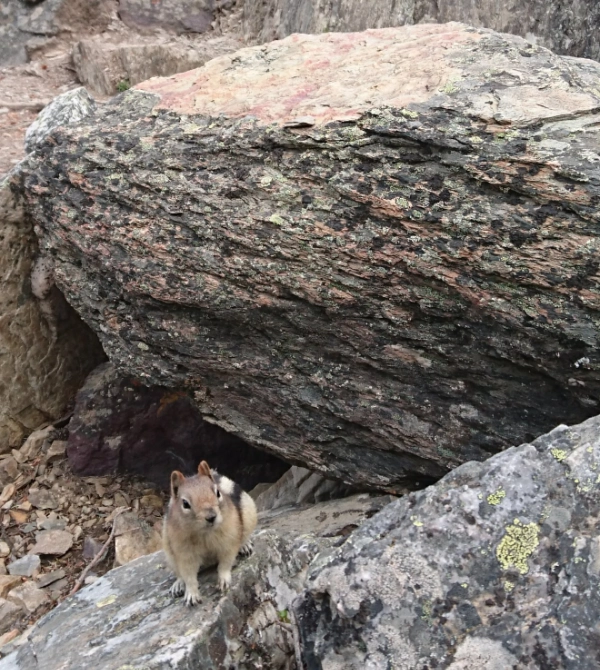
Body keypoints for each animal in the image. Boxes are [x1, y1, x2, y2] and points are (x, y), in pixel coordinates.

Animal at [162, 460, 258, 606]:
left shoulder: (229, 540)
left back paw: (245, 545)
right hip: (169, 554)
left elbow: (225, 562)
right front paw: (191, 594)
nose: (211, 517)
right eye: (185, 504)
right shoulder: (184, 552)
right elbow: (188, 574)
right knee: (179, 573)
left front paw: (223, 580)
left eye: (218, 493)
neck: (204, 533)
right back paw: (177, 585)